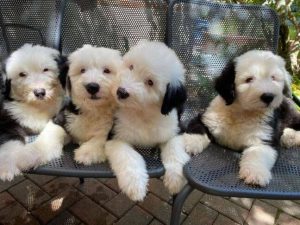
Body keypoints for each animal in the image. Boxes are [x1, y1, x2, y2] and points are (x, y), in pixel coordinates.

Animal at [0, 44, 65, 181]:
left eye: (46, 69)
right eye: (22, 74)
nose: (40, 92)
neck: (37, 105)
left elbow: (51, 134)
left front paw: (26, 157)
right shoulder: (5, 120)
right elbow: (8, 141)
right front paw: (6, 168)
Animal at [105, 40, 190, 200]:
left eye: (150, 82)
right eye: (131, 67)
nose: (121, 91)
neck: (143, 113)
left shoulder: (175, 130)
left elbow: (174, 148)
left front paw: (175, 179)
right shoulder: (115, 135)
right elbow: (129, 156)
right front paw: (135, 185)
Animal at [184, 50, 300, 186]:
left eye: (273, 78)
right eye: (249, 79)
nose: (268, 96)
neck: (242, 113)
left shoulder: (264, 138)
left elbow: (257, 153)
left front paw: (255, 173)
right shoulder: (207, 118)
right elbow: (197, 128)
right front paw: (191, 143)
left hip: (289, 113)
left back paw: (289, 137)